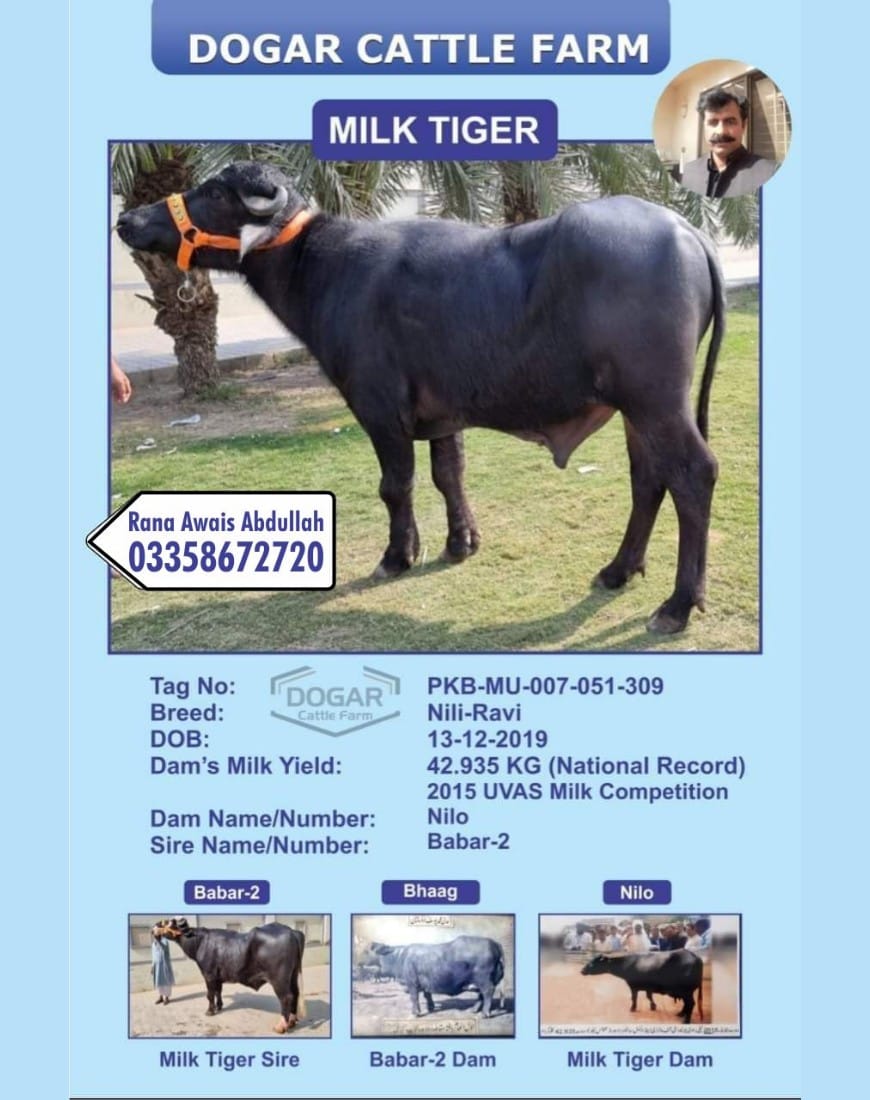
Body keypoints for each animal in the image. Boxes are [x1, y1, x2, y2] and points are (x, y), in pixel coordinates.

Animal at [117, 160, 726, 634]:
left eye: (217, 192)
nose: (128, 219)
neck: (324, 268)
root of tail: (685, 230)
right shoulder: (442, 413)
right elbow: (448, 474)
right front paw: (460, 543)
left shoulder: (379, 410)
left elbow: (396, 486)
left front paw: (397, 555)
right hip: (637, 409)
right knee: (648, 479)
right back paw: (618, 570)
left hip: (657, 401)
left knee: (693, 474)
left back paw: (677, 604)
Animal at [152, 918, 305, 1033]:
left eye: (166, 922)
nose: (153, 928)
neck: (200, 942)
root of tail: (291, 931)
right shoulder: (218, 977)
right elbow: (218, 991)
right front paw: (219, 1006)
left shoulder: (208, 975)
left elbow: (210, 994)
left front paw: (210, 1011)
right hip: (292, 975)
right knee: (295, 993)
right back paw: (292, 1021)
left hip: (279, 979)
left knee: (286, 997)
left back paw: (281, 1026)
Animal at [358, 935, 505, 1017]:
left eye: (369, 950)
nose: (358, 961)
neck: (400, 957)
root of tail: (494, 943)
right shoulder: (424, 983)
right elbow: (427, 995)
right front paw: (431, 1007)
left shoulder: (412, 982)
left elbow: (414, 998)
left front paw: (416, 1013)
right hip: (480, 981)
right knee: (481, 995)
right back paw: (474, 1010)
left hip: (484, 979)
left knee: (487, 992)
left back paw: (485, 1013)